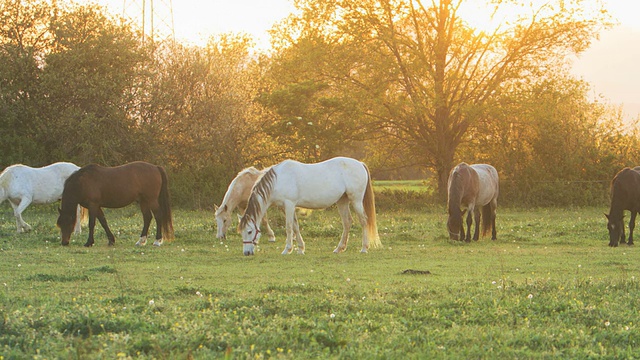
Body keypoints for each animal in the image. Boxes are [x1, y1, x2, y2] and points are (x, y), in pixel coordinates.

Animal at [240, 158, 380, 256]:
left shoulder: (289, 204)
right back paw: (339, 248)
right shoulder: (286, 207)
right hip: (342, 201)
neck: (278, 180)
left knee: (364, 221)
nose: (247, 253)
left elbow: (289, 227)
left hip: (356, 200)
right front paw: (300, 249)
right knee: (347, 222)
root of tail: (360, 164)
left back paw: (364, 248)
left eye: (250, 231)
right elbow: (296, 227)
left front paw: (287, 249)